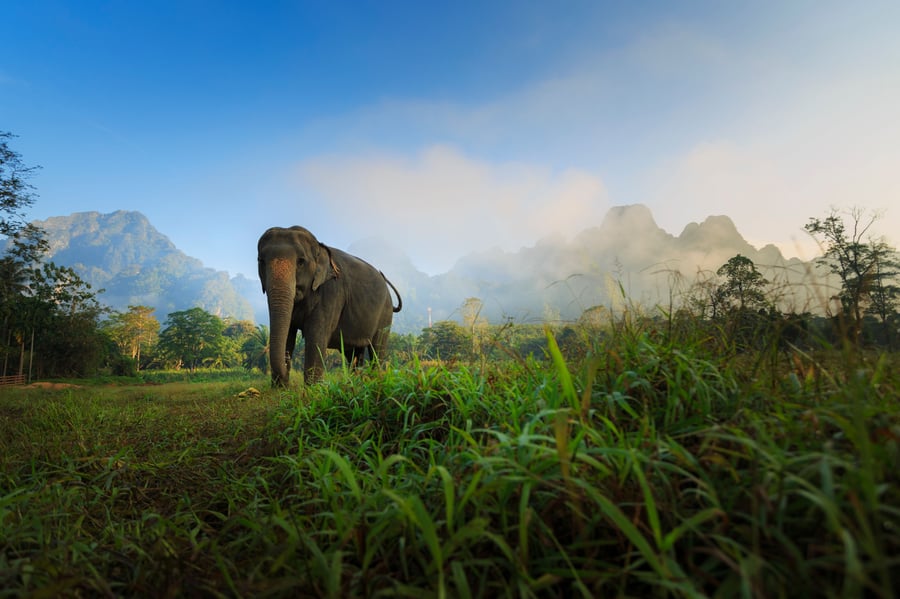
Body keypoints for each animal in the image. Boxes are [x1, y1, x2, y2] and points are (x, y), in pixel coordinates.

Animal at [258, 226, 402, 386]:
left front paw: (313, 389)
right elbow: (288, 333)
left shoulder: (332, 293)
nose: (287, 361)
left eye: (301, 262)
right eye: (261, 261)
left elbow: (316, 336)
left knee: (377, 348)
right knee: (353, 353)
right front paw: (280, 389)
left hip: (385, 314)